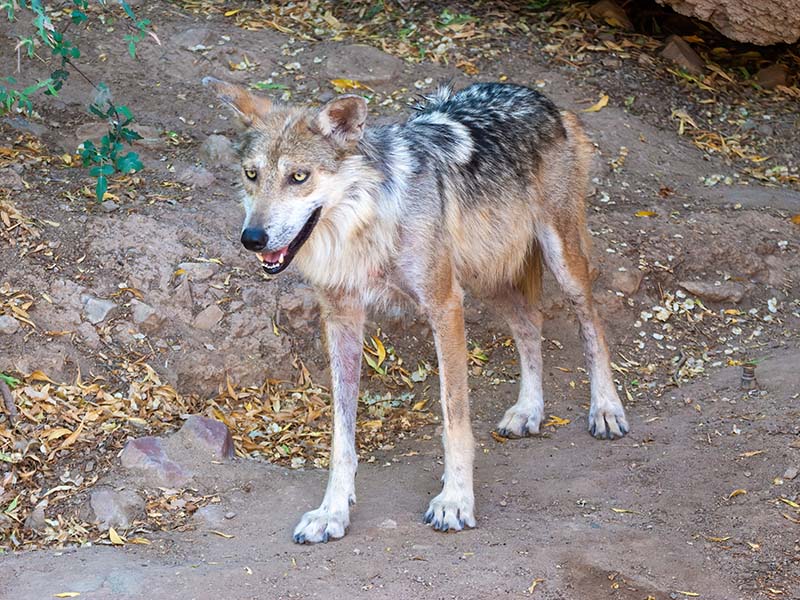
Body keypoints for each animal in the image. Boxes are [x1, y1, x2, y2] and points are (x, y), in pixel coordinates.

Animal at [203, 77, 629, 543]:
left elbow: (454, 419)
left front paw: (455, 501)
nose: (252, 238)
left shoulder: (444, 306)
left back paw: (606, 409)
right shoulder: (342, 319)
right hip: (487, 278)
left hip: (558, 260)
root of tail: (538, 97)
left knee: (592, 323)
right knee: (530, 325)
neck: (366, 225)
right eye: (252, 175)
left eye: (299, 176)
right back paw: (529, 411)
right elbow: (341, 435)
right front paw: (332, 511)